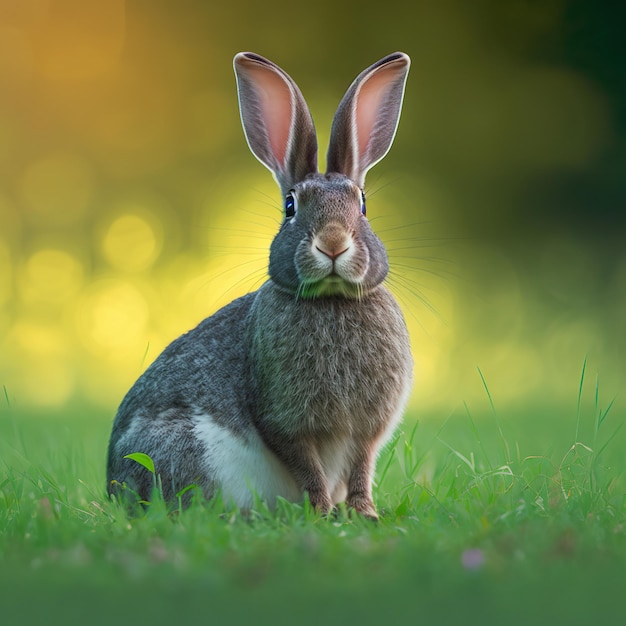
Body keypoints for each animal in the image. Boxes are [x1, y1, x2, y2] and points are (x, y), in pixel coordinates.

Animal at [105, 50, 412, 516]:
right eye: (290, 206)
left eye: (362, 204)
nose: (333, 243)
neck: (331, 301)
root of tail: (112, 485)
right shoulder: (284, 421)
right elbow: (308, 467)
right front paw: (323, 512)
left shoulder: (366, 429)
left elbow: (361, 468)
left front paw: (363, 514)